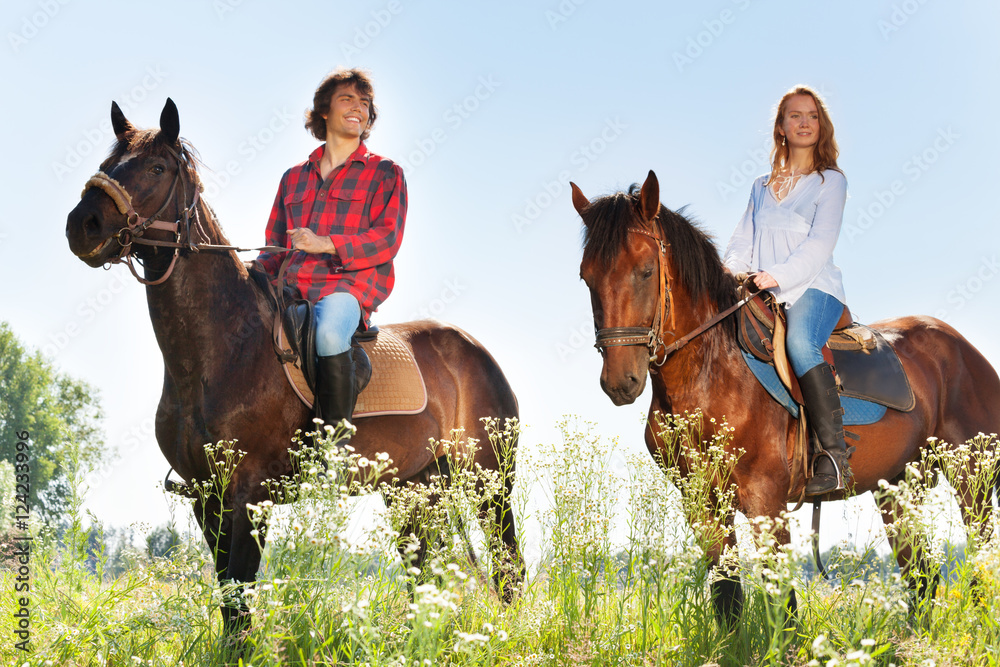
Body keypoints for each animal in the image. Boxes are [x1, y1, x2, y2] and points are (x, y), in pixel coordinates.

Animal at [62, 99, 524, 636]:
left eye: (156, 168)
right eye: (109, 162)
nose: (82, 226)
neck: (218, 353)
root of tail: (474, 350)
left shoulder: (247, 495)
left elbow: (240, 596)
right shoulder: (204, 497)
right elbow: (230, 601)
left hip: (491, 483)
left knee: (509, 570)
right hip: (414, 489)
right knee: (424, 575)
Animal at [572, 170, 1000, 628]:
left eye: (646, 270)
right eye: (586, 277)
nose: (620, 381)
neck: (709, 375)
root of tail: (964, 349)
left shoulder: (766, 501)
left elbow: (784, 606)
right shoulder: (703, 505)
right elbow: (727, 595)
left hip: (971, 479)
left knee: (978, 563)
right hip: (899, 488)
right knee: (922, 578)